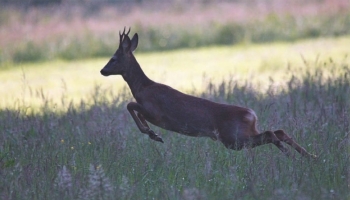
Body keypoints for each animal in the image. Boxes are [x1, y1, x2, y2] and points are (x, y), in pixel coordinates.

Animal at [100, 28, 316, 159]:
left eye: (113, 58)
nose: (102, 71)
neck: (142, 88)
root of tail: (251, 114)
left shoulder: (156, 112)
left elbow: (130, 105)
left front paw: (152, 133)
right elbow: (133, 108)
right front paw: (152, 133)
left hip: (233, 138)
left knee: (271, 133)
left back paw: (291, 155)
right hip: (242, 134)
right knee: (279, 131)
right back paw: (309, 156)